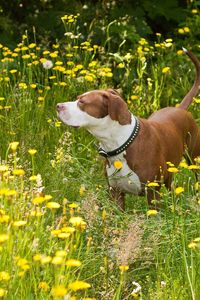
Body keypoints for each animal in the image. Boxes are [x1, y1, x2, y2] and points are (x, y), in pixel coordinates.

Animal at [56, 48, 200, 209]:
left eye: (82, 102)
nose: (58, 106)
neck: (118, 143)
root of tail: (180, 109)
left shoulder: (153, 192)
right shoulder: (115, 193)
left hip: (194, 159)